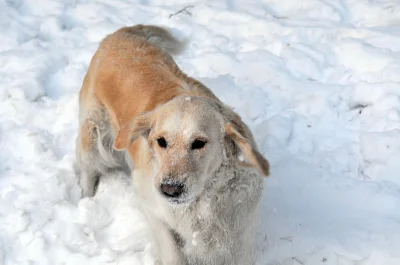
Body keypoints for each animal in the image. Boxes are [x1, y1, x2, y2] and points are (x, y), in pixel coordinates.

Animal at [76, 23, 268, 262]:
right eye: (161, 141)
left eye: (199, 143)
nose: (170, 189)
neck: (202, 203)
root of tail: (120, 34)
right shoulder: (154, 209)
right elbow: (172, 252)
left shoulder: (237, 233)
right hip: (93, 132)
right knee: (87, 170)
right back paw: (86, 199)